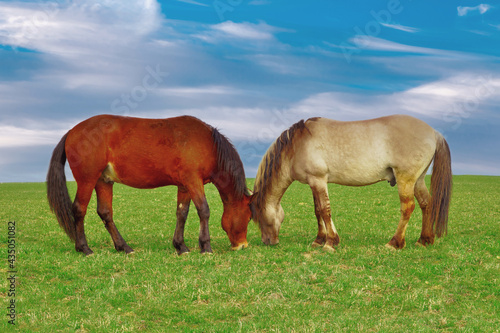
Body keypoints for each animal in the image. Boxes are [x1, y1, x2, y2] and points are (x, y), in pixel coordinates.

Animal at [46, 114, 254, 254]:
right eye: (249, 216)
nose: (243, 245)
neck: (209, 145)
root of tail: (72, 131)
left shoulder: (185, 185)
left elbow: (182, 213)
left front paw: (181, 246)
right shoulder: (193, 181)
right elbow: (204, 210)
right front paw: (206, 247)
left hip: (103, 181)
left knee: (105, 213)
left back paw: (123, 247)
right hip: (87, 180)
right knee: (79, 210)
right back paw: (84, 248)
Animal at [252, 113, 452, 249]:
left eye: (258, 216)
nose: (268, 241)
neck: (296, 146)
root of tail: (434, 133)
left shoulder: (318, 180)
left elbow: (324, 210)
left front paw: (330, 242)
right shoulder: (314, 182)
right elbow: (317, 211)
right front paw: (319, 239)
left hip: (406, 179)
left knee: (408, 207)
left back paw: (395, 243)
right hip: (418, 180)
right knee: (426, 204)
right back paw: (424, 240)